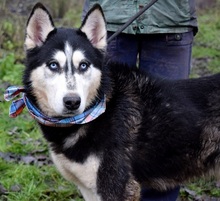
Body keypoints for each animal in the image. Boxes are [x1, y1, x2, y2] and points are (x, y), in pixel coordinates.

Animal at [20, 2, 220, 201]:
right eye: (53, 65)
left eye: (83, 65)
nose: (72, 101)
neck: (101, 108)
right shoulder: (89, 189)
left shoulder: (119, 187)